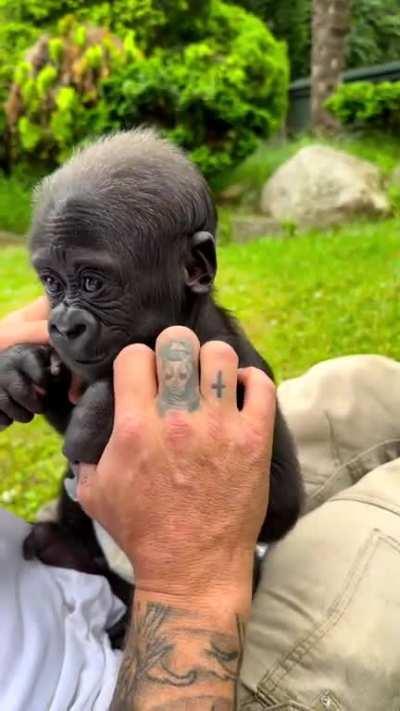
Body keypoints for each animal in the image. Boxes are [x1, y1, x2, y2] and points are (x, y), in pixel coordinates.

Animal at [0, 128, 303, 627]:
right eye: (51, 282)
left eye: (92, 282)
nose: (63, 325)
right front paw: (18, 368)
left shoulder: (241, 362)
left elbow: (280, 501)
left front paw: (105, 408)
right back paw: (65, 547)